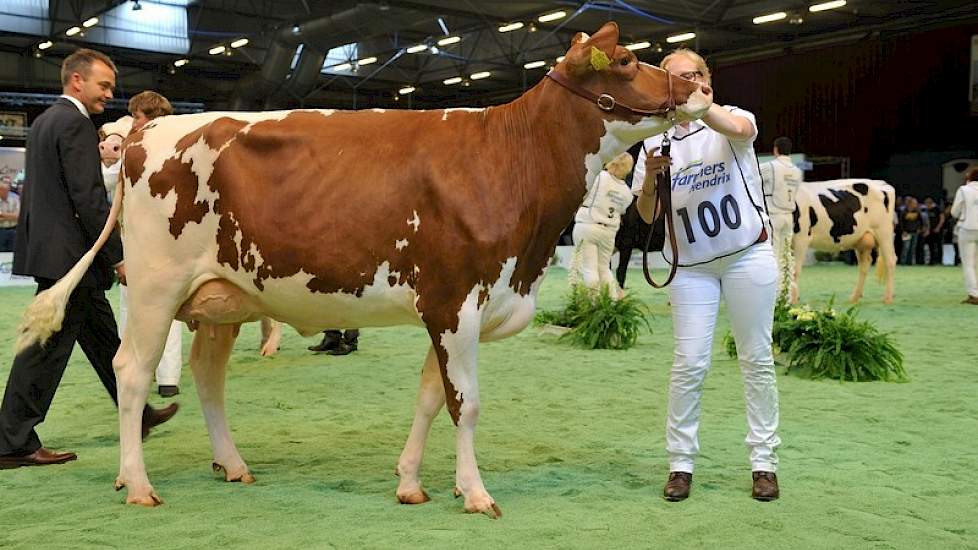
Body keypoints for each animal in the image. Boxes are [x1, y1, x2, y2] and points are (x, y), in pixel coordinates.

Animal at [17, 23, 708, 520]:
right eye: (626, 62)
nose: (698, 87)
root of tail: (146, 131)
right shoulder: (457, 301)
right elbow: (466, 404)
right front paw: (475, 493)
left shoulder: (447, 307)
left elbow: (431, 397)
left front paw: (410, 484)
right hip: (157, 287)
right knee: (131, 371)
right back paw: (137, 483)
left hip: (223, 296)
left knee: (208, 378)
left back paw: (232, 464)